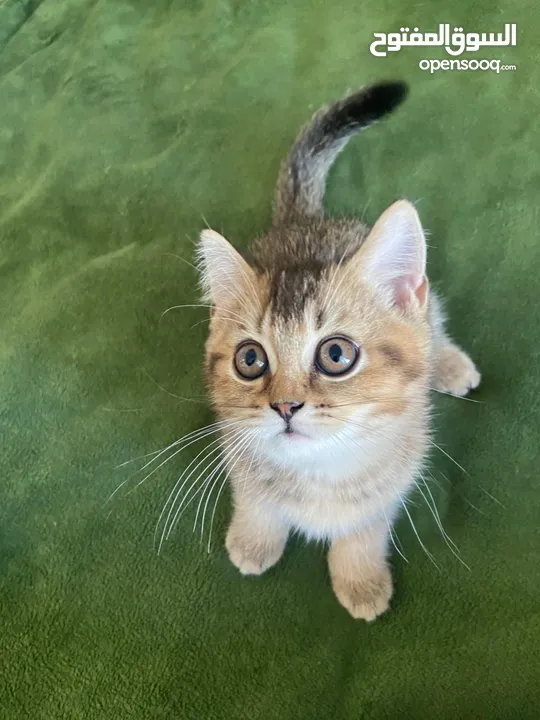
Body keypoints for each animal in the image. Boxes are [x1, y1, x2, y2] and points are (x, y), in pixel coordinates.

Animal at [196, 80, 478, 620]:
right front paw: (253, 540)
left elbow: (364, 530)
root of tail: (306, 222)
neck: (320, 472)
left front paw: (361, 580)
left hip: (427, 307)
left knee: (433, 323)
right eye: (249, 360)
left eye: (336, 356)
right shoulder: (235, 444)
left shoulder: (394, 482)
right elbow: (255, 497)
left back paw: (451, 365)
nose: (285, 406)